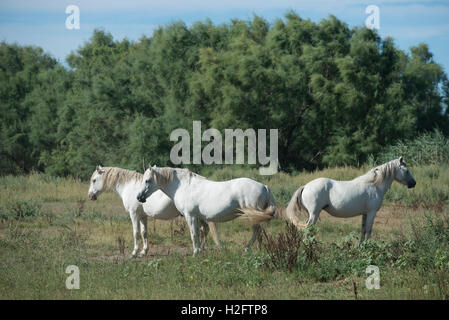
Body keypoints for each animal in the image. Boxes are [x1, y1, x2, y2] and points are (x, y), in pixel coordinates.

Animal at [86, 165, 220, 258]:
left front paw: (134, 253)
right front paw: (143, 252)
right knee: (204, 230)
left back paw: (201, 249)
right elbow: (144, 233)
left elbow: (136, 233)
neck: (129, 187)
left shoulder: (134, 215)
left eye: (94, 180)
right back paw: (202, 249)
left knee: (202, 230)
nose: (90, 196)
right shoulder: (143, 217)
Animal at [136, 168, 276, 255]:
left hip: (252, 217)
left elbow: (194, 234)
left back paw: (248, 249)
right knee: (259, 233)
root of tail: (264, 186)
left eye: (147, 180)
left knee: (257, 232)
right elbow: (200, 233)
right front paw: (200, 250)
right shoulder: (198, 217)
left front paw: (196, 252)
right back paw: (256, 250)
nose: (139, 197)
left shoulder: (190, 216)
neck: (184, 187)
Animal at [286, 158, 414, 242]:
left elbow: (363, 230)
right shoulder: (371, 213)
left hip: (310, 215)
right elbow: (369, 230)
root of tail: (305, 186)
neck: (374, 185)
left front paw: (361, 247)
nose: (413, 183)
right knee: (307, 229)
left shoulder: (365, 214)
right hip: (314, 214)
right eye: (406, 170)